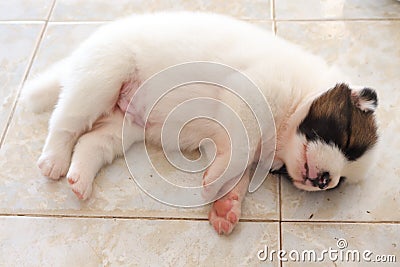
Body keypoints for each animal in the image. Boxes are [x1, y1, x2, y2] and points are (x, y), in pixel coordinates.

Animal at [21, 12, 378, 236]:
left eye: (342, 182)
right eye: (346, 139)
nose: (325, 181)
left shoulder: (226, 138)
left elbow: (239, 169)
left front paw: (227, 206)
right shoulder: (251, 95)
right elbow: (240, 150)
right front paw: (214, 183)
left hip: (124, 125)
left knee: (91, 142)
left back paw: (79, 179)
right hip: (102, 77)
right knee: (64, 122)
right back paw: (53, 160)